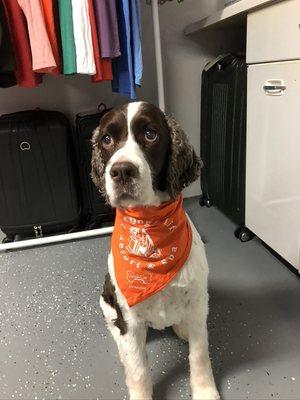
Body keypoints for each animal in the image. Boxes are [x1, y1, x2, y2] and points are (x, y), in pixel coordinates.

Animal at [90, 101, 219, 398]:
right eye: (106, 139)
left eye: (151, 134)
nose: (121, 171)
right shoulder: (128, 313)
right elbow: (138, 369)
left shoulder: (198, 300)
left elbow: (199, 353)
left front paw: (205, 390)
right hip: (106, 298)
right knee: (115, 328)